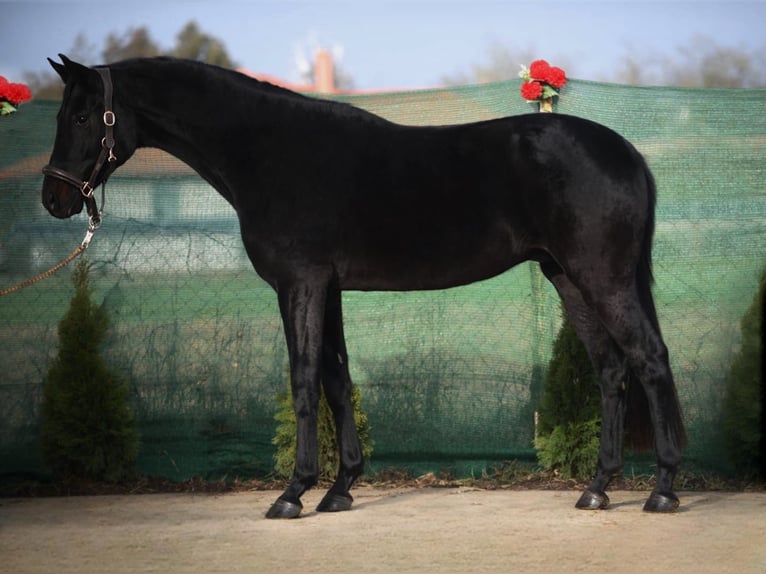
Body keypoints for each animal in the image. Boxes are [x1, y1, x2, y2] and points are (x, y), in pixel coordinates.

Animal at [42, 56, 688, 520]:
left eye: (83, 116)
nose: (55, 198)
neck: (269, 150)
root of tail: (628, 153)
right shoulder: (326, 288)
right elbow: (337, 380)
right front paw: (340, 489)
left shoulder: (300, 283)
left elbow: (304, 380)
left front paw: (292, 494)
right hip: (568, 278)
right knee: (611, 368)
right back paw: (597, 489)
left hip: (600, 277)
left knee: (650, 359)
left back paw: (662, 490)